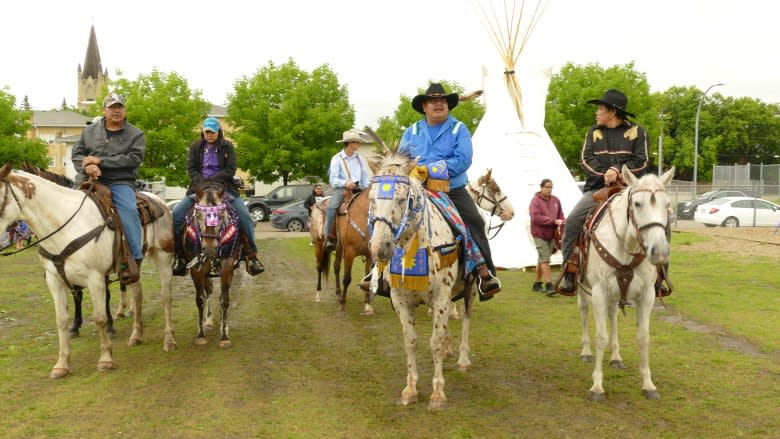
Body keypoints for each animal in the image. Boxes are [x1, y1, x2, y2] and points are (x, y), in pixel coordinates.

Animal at [576, 165, 672, 402]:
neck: (626, 245)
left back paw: (616, 356)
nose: (659, 252)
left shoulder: (646, 295)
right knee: (583, 311)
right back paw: (586, 352)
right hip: (583, 288)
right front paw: (597, 386)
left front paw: (648, 384)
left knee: (613, 316)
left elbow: (643, 337)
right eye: (637, 204)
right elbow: (600, 337)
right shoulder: (599, 292)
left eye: (667, 204)